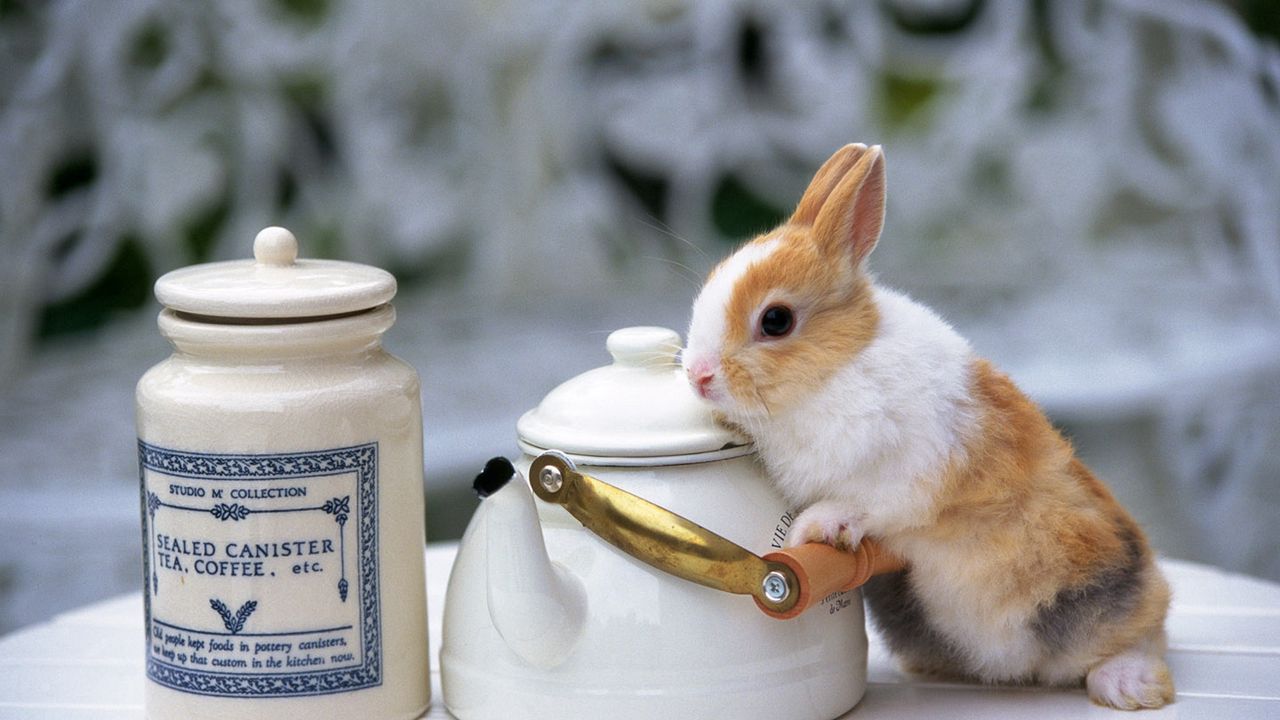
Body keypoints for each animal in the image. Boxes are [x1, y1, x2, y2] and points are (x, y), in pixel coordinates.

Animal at [686, 141, 1172, 707]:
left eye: (776, 320)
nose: (697, 375)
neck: (837, 369)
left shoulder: (906, 476)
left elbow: (867, 506)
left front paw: (812, 528)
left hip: (1094, 587)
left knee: (1143, 632)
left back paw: (1127, 686)